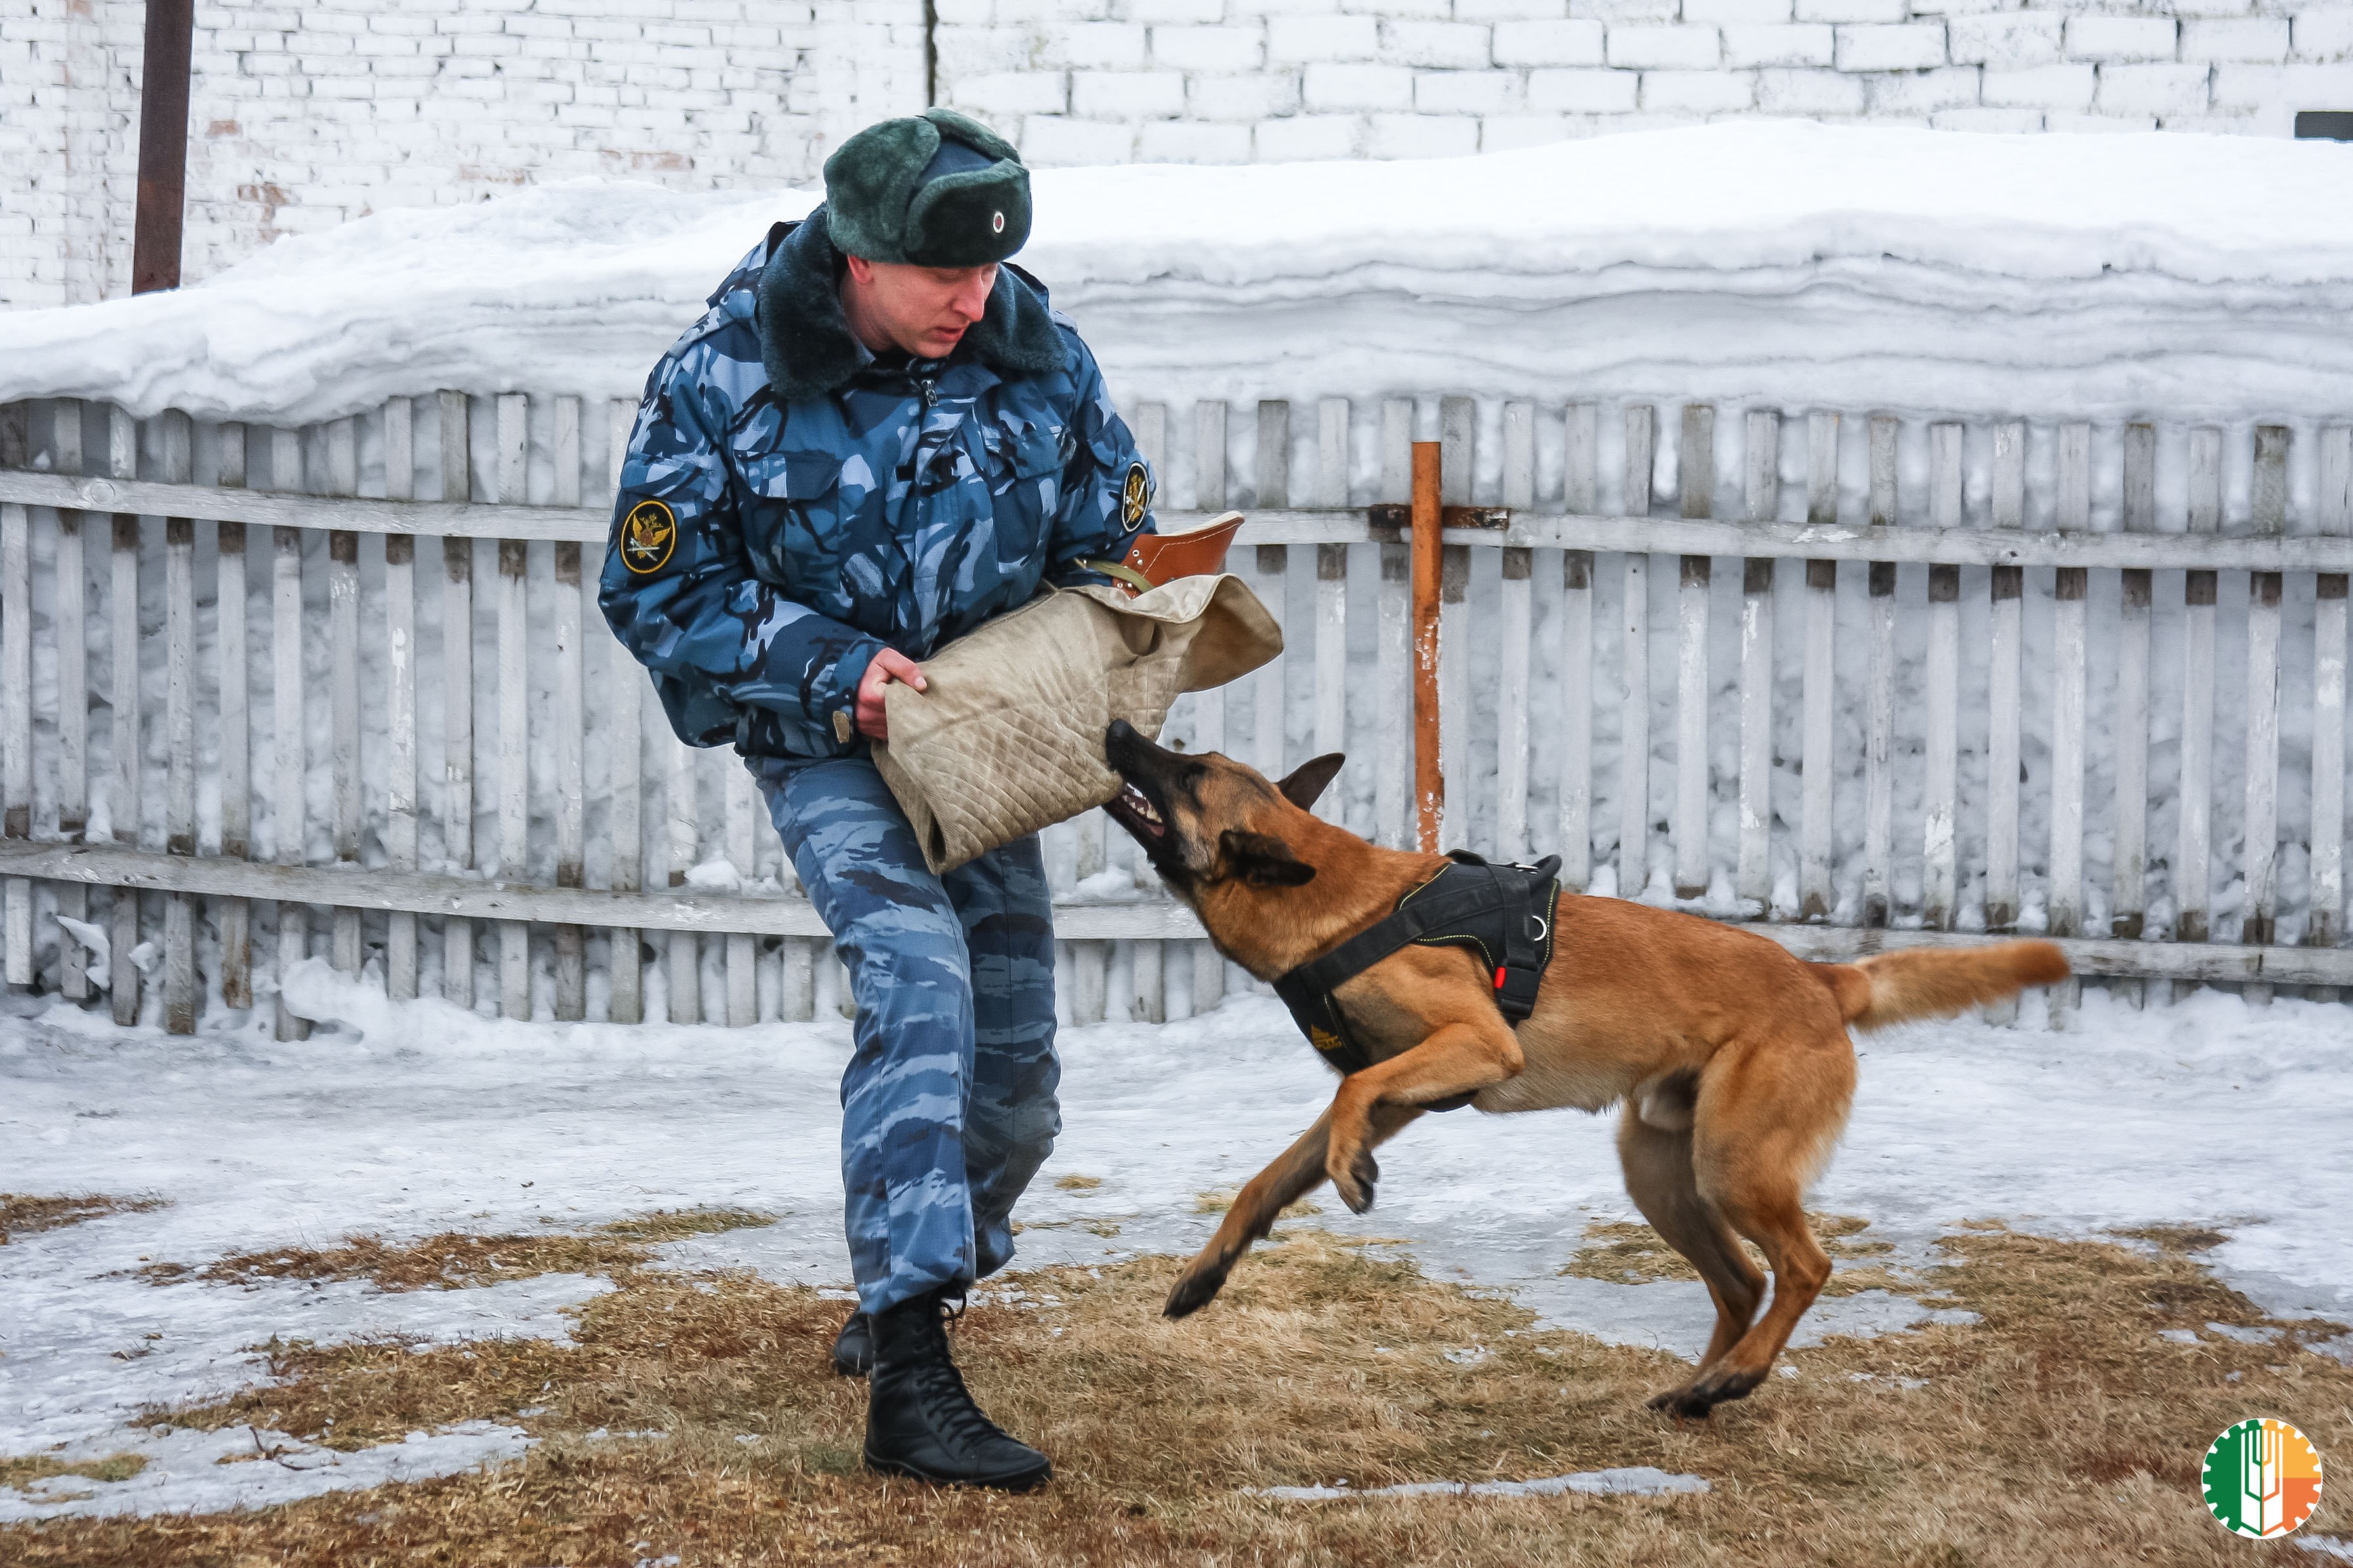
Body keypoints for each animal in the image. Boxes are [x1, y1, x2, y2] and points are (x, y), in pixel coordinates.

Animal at [1101, 719, 2061, 1420]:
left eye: (1188, 772)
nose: (1115, 726)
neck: (1335, 902)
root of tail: (1822, 978)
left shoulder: (1475, 1044)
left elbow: (1348, 1096)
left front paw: (1348, 1172)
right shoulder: (1410, 1087)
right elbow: (1266, 1177)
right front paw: (1206, 1271)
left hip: (1732, 1166)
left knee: (1802, 1268)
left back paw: (1735, 1377)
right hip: (1662, 1174)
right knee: (1742, 1280)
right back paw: (1696, 1390)